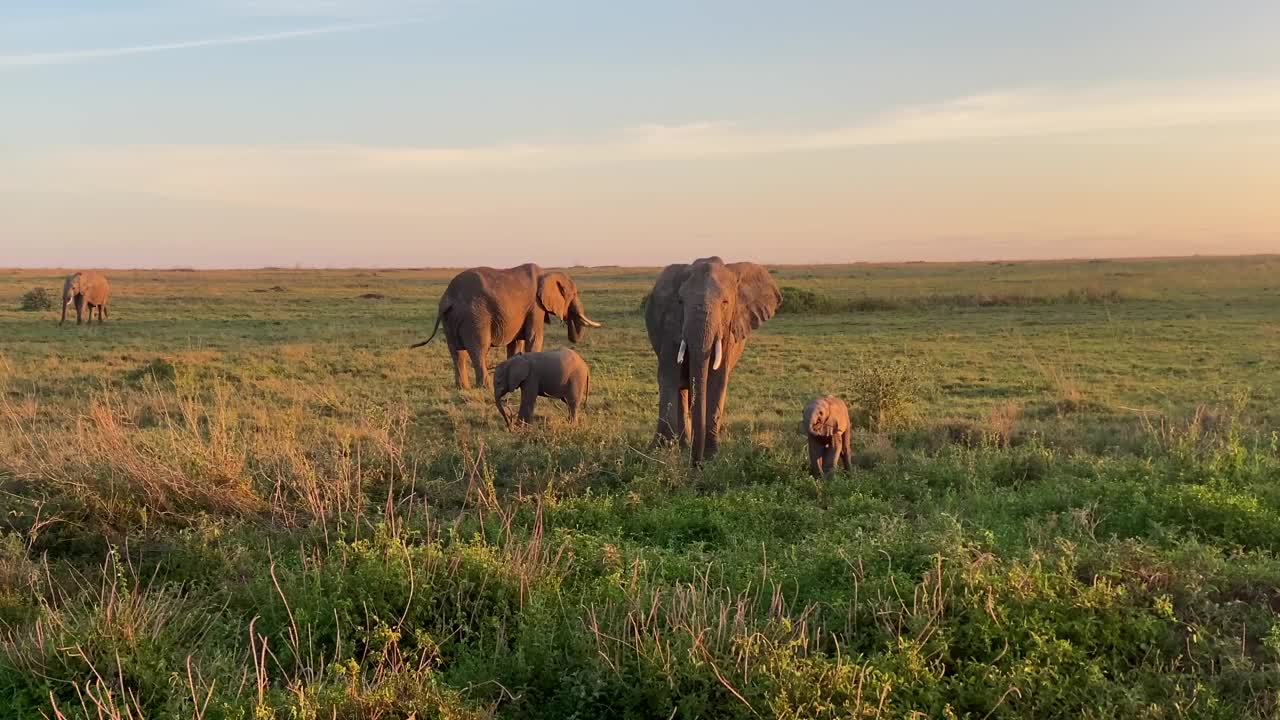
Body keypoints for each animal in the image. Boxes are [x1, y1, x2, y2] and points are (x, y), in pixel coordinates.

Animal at [414, 262, 604, 386]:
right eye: (574, 294)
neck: (548, 273)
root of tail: (448, 298)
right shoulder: (535, 306)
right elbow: (534, 338)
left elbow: (516, 343)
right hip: (474, 316)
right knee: (478, 349)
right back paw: (485, 387)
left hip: (451, 319)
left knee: (456, 352)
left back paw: (463, 389)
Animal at [645, 254, 783, 461]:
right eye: (680, 302)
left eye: (725, 303)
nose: (696, 463)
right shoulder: (670, 325)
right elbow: (668, 375)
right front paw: (658, 452)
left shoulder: (728, 332)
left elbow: (716, 380)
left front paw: (711, 456)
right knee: (680, 388)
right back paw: (683, 446)